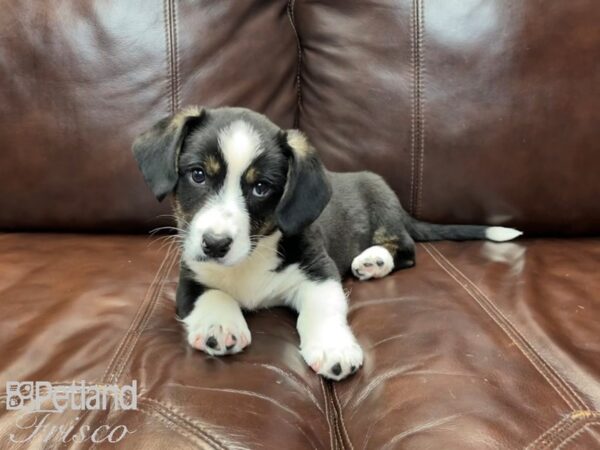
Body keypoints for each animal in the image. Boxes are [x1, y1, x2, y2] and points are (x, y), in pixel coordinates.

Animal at [131, 107, 520, 382]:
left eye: (261, 188)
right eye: (197, 174)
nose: (215, 244)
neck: (252, 256)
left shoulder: (318, 270)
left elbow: (323, 310)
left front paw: (334, 348)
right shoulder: (189, 275)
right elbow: (212, 294)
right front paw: (219, 326)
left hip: (382, 206)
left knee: (406, 248)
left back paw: (373, 260)